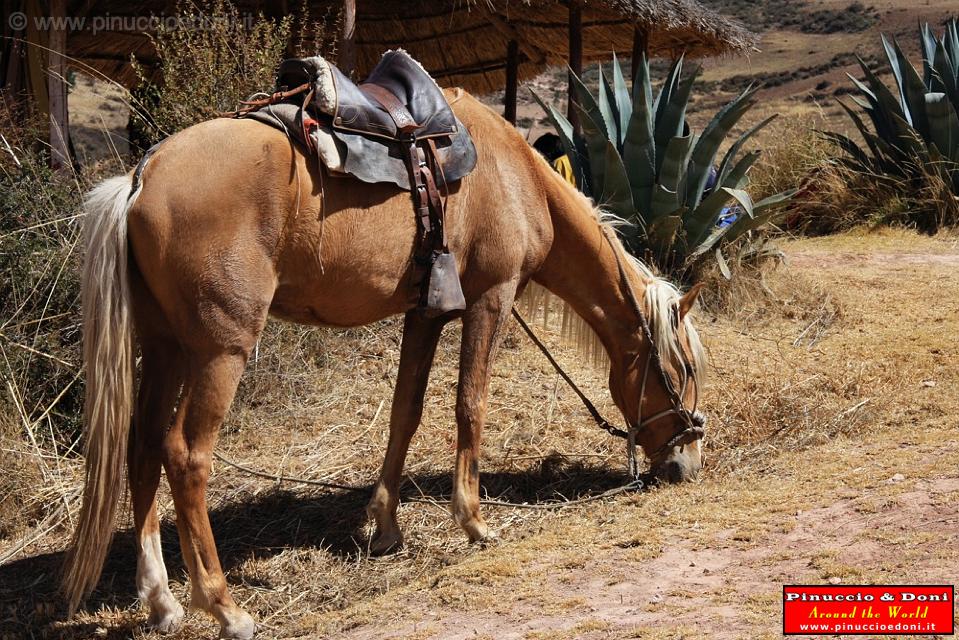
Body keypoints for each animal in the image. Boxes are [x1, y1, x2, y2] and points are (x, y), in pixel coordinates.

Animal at [60, 89, 704, 636]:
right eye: (684, 371)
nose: (687, 463)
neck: (516, 176)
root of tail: (142, 179)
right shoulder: (490, 300)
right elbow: (470, 405)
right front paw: (474, 521)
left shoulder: (426, 314)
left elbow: (406, 414)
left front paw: (387, 527)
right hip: (220, 352)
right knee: (184, 456)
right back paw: (223, 606)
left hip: (163, 347)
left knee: (142, 446)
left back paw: (162, 601)